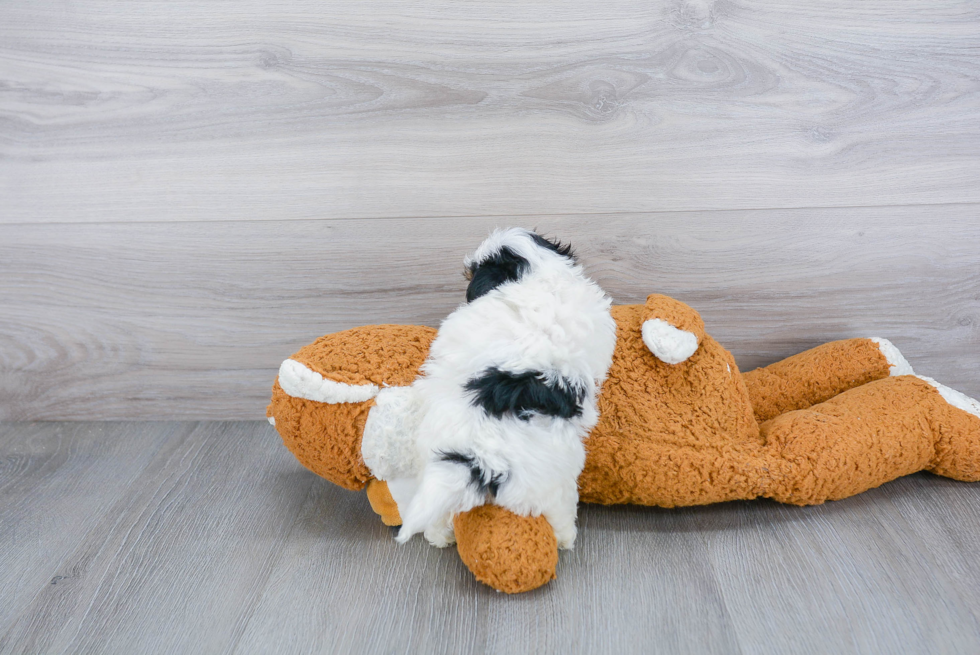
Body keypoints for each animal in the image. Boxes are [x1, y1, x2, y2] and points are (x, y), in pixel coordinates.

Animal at [394, 228, 616, 552]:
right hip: (552, 481)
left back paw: (440, 537)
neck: (535, 277)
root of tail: (481, 455)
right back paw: (565, 539)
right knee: (557, 510)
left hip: (436, 465)